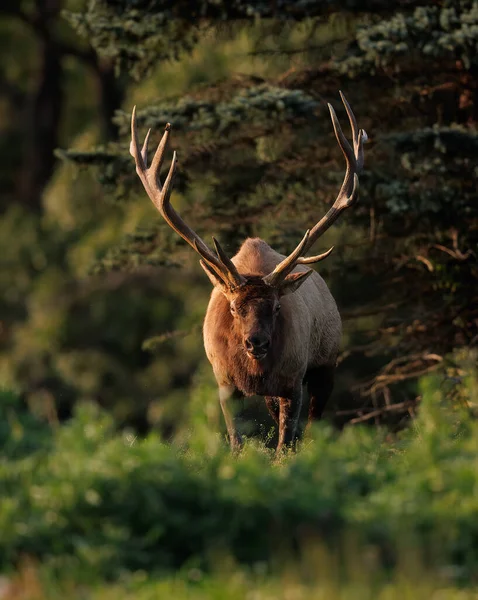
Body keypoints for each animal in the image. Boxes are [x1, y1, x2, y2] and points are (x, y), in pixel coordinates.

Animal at [129, 92, 368, 450]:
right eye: (233, 307)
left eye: (278, 307)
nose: (256, 343)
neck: (255, 372)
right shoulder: (225, 383)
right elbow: (236, 442)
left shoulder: (293, 380)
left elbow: (286, 444)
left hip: (327, 361)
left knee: (315, 424)